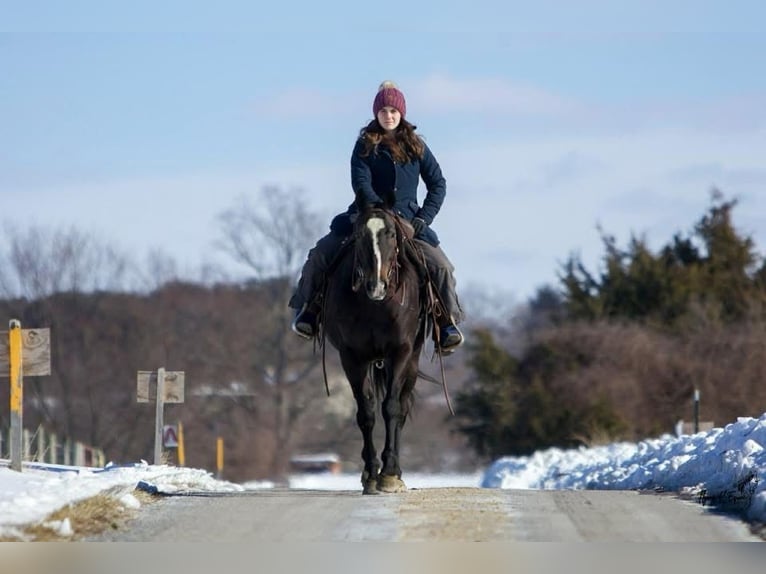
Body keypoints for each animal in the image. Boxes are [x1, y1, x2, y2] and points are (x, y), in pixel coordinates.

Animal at [320, 204, 431, 495]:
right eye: (359, 235)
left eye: (391, 234)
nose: (376, 285)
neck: (376, 306)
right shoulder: (352, 357)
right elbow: (366, 412)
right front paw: (371, 473)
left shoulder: (400, 352)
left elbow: (391, 407)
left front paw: (389, 474)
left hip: (412, 362)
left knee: (402, 408)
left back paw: (397, 472)